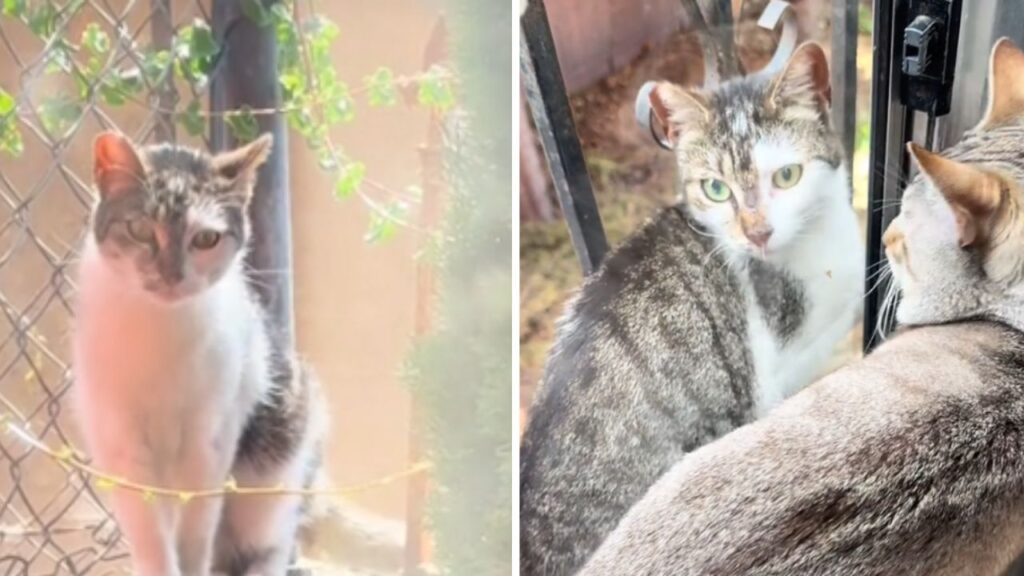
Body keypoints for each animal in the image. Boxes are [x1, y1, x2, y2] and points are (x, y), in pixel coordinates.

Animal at [72, 131, 323, 573]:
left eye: (206, 239)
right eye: (140, 229)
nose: (171, 275)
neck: (160, 331)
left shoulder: (209, 444)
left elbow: (194, 535)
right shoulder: (121, 445)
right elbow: (153, 541)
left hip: (271, 473)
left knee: (265, 547)